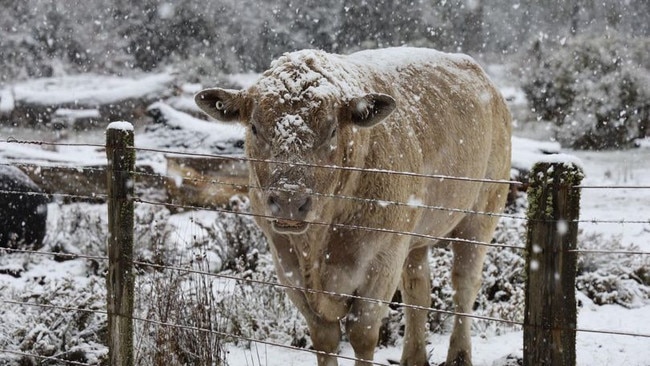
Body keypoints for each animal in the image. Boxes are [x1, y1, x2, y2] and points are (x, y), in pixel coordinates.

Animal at [195, 48, 508, 366]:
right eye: (255, 128)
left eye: (333, 130)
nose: (289, 201)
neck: (316, 245)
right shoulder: (284, 259)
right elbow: (324, 336)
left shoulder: (383, 259)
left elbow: (362, 333)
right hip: (415, 237)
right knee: (418, 291)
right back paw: (413, 357)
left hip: (482, 213)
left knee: (464, 285)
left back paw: (459, 356)